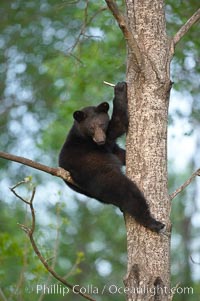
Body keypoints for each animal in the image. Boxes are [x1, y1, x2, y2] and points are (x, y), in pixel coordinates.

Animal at [58, 82, 165, 232]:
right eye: (91, 127)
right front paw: (120, 88)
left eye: (101, 124)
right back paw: (153, 223)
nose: (100, 140)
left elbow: (119, 152)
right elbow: (119, 123)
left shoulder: (108, 145)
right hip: (101, 176)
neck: (84, 136)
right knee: (128, 192)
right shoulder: (102, 143)